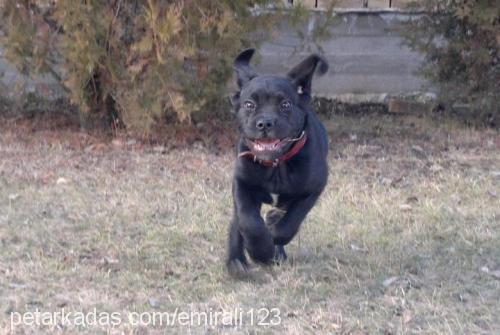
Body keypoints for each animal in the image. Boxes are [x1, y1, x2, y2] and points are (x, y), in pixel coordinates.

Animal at [226, 48, 328, 274]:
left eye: (285, 104)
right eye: (249, 104)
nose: (265, 123)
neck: (276, 165)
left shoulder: (314, 188)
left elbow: (291, 221)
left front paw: (272, 240)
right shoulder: (242, 183)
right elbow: (248, 222)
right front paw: (260, 251)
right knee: (237, 223)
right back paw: (236, 263)